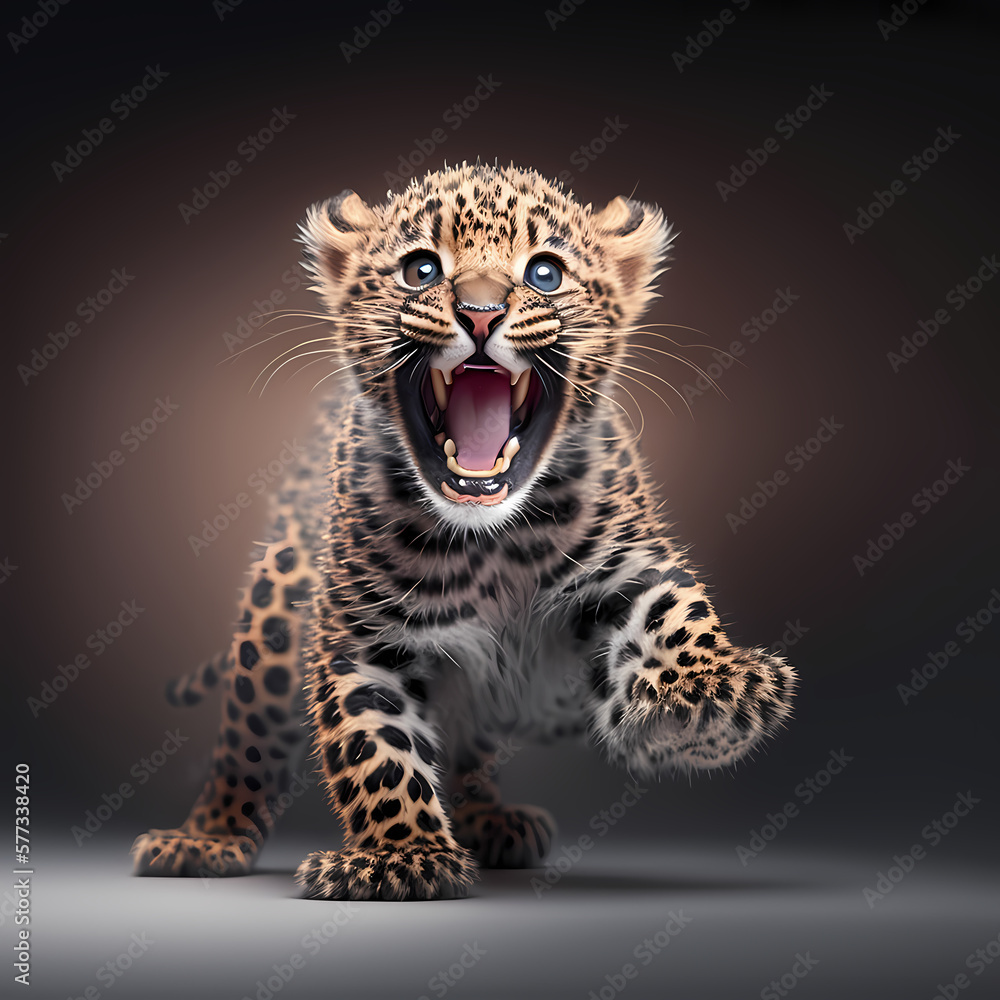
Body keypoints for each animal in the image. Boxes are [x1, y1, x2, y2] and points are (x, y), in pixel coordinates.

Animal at [131, 161, 796, 901]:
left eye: (544, 273)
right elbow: (376, 747)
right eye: (420, 269)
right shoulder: (362, 637)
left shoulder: (622, 561)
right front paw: (402, 856)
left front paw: (708, 694)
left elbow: (673, 608)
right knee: (245, 745)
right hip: (274, 616)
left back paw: (492, 820)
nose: (480, 313)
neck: (491, 545)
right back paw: (207, 837)